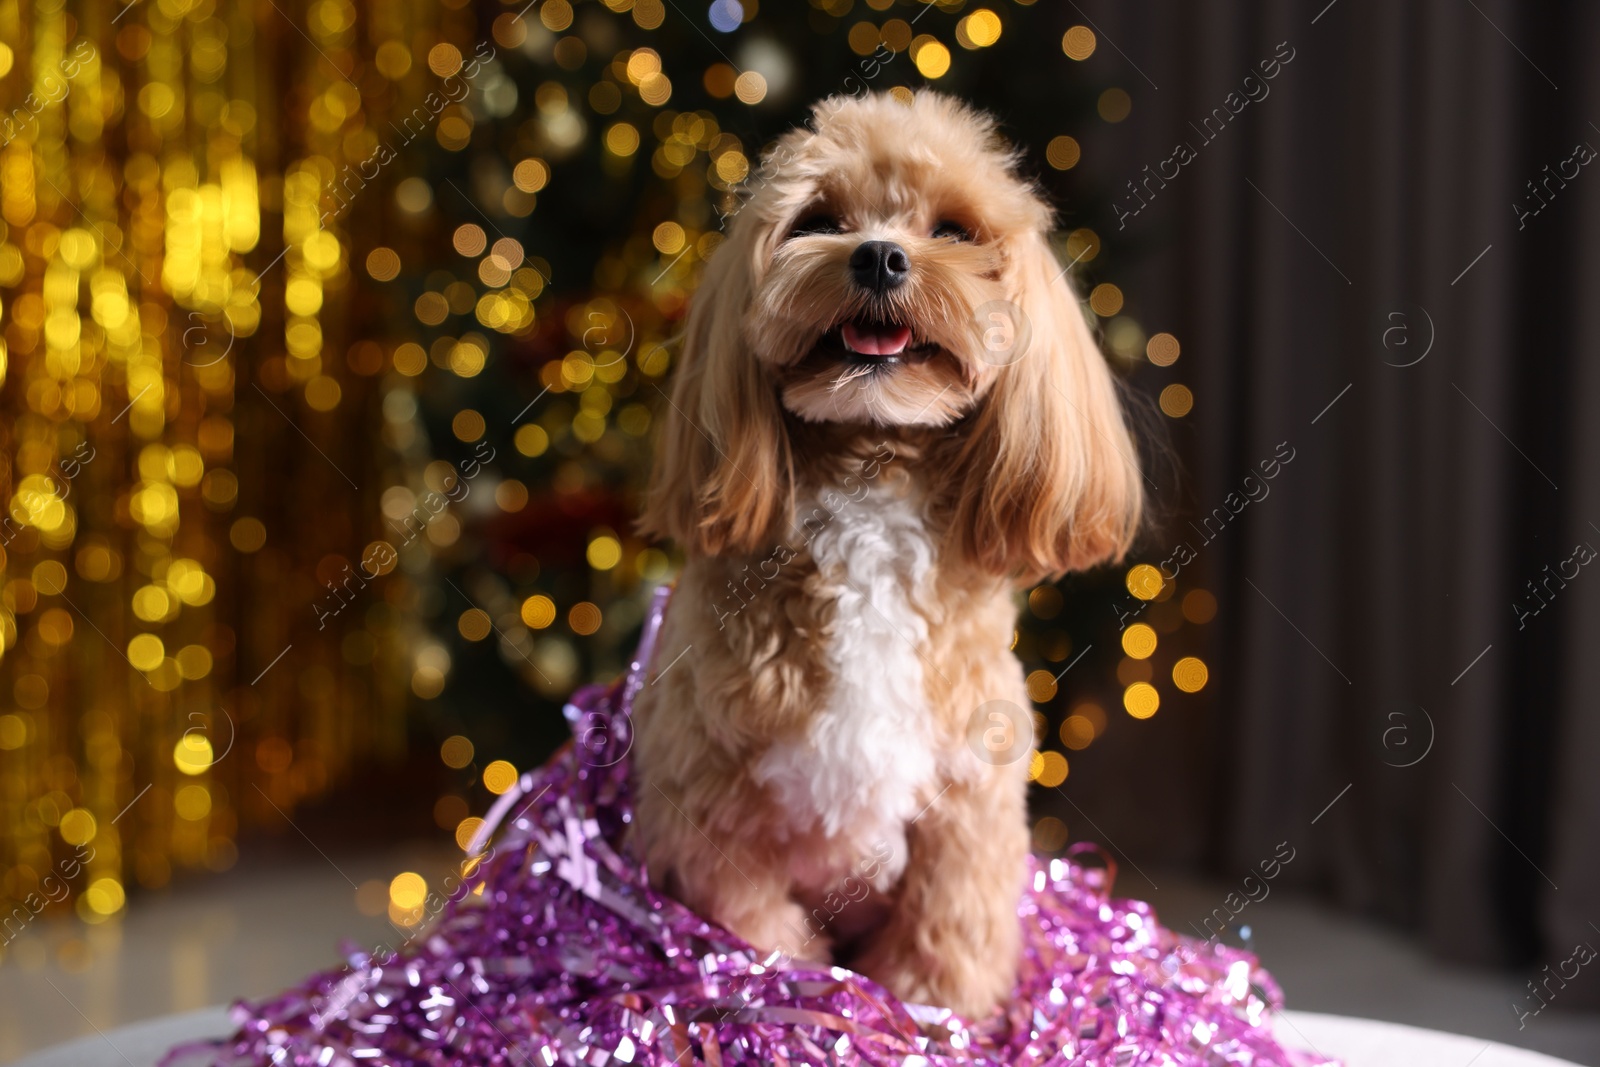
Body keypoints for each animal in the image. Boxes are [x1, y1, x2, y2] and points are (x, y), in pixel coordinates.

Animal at [630, 91, 1145, 1017]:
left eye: (954, 229)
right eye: (818, 221)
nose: (876, 255)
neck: (870, 487)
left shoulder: (968, 812)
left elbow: (947, 936)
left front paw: (936, 1015)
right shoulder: (712, 812)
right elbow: (753, 932)